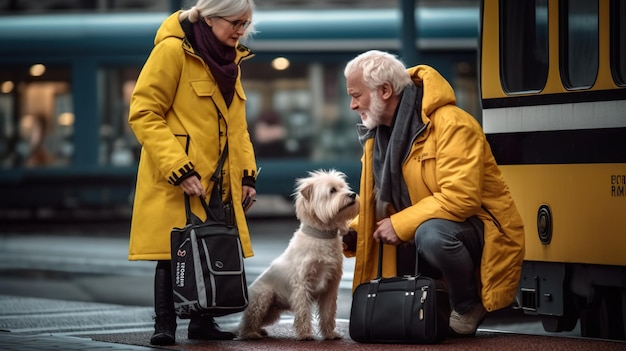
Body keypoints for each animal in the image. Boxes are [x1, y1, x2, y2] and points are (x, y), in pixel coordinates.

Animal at [238, 170, 358, 340]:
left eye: (344, 187)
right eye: (332, 191)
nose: (353, 194)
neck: (321, 236)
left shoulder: (330, 286)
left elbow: (328, 312)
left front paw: (330, 334)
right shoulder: (302, 285)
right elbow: (303, 311)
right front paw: (306, 334)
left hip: (272, 314)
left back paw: (260, 331)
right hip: (263, 297)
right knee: (247, 322)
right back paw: (251, 333)